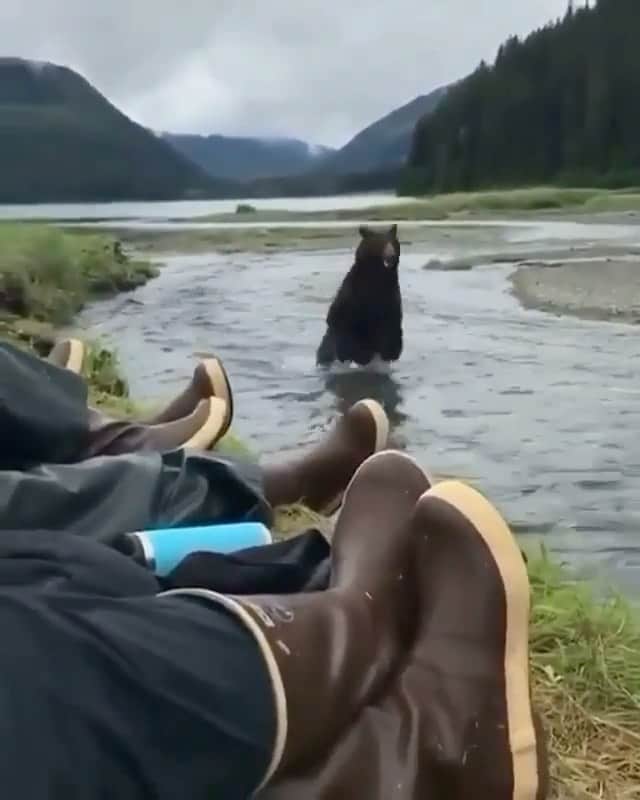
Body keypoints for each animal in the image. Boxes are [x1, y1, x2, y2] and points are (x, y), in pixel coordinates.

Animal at [316, 224, 403, 367]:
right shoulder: (353, 298)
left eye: (392, 242)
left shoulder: (389, 298)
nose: (391, 256)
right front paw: (361, 355)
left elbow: (391, 328)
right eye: (378, 243)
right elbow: (341, 321)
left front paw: (388, 353)